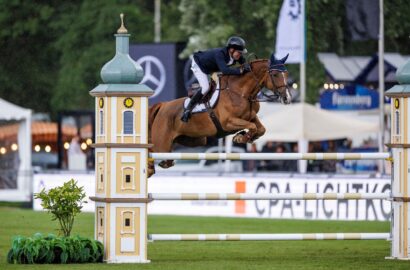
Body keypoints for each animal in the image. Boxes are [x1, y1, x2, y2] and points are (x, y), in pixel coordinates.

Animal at [147, 52, 292, 176]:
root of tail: (162, 106)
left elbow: (260, 128)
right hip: (161, 144)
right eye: (275, 74)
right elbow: (252, 126)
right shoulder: (227, 123)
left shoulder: (251, 116)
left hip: (192, 140)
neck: (240, 92)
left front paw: (244, 137)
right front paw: (241, 138)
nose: (287, 98)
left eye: (286, 74)